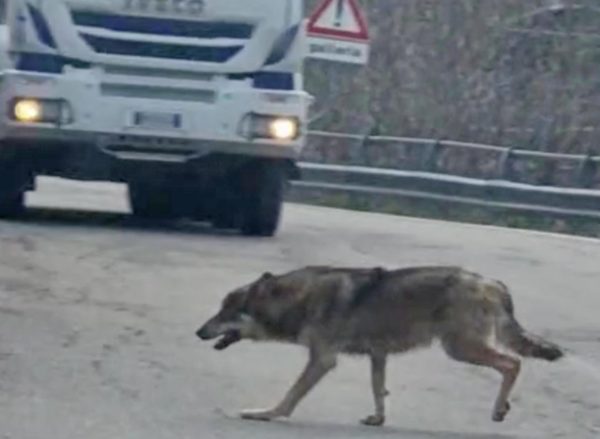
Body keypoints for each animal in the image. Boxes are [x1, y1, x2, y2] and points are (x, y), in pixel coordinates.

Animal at [197, 264, 564, 426]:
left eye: (225, 312)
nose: (198, 331)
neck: (298, 300)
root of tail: (494, 283)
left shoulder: (323, 359)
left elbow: (291, 396)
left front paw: (266, 414)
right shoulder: (378, 354)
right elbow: (379, 391)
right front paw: (378, 419)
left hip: (459, 349)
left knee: (513, 363)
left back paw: (499, 410)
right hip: (461, 348)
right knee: (512, 363)